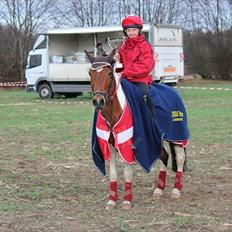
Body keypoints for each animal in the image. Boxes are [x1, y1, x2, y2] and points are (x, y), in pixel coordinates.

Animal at [85, 49, 188, 209]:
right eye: (91, 73)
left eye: (109, 74)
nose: (98, 101)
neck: (114, 111)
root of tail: (173, 91)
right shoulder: (109, 144)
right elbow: (113, 173)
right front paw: (112, 201)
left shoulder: (127, 143)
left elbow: (127, 171)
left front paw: (127, 201)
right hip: (158, 139)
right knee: (164, 156)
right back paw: (159, 189)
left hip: (177, 136)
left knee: (180, 158)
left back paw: (176, 190)